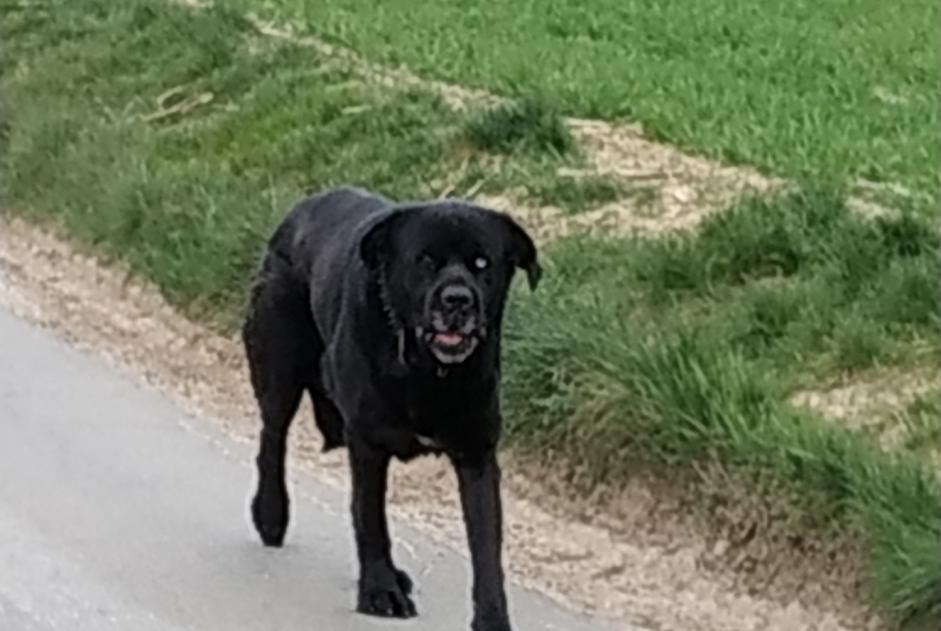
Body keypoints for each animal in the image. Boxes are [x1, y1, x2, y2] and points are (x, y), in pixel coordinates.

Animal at [239, 185, 540, 628]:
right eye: (425, 260)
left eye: (483, 263)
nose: (458, 300)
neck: (429, 371)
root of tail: (300, 209)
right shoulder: (367, 443)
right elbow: (370, 517)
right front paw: (379, 591)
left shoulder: (478, 453)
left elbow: (487, 545)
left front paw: (492, 618)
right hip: (279, 362)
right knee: (272, 436)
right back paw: (271, 515)